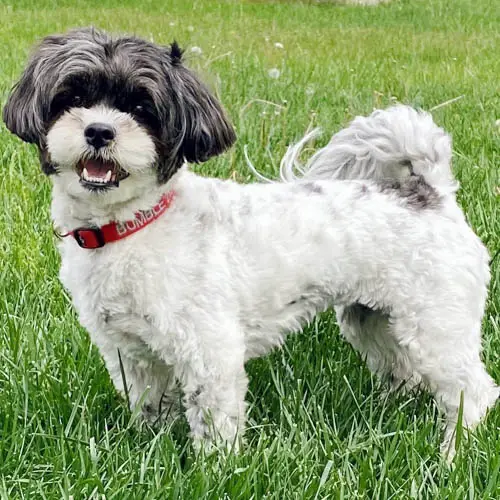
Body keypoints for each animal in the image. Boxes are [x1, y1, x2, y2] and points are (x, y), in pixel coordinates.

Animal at [2, 26, 496, 458]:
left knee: (473, 391)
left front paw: (215, 469)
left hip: (435, 323)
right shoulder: (131, 355)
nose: (100, 131)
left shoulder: (209, 350)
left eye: (142, 108)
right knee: (406, 372)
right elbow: (149, 408)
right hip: (375, 320)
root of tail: (431, 193)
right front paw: (150, 450)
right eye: (74, 98)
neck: (133, 226)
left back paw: (453, 454)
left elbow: (214, 419)